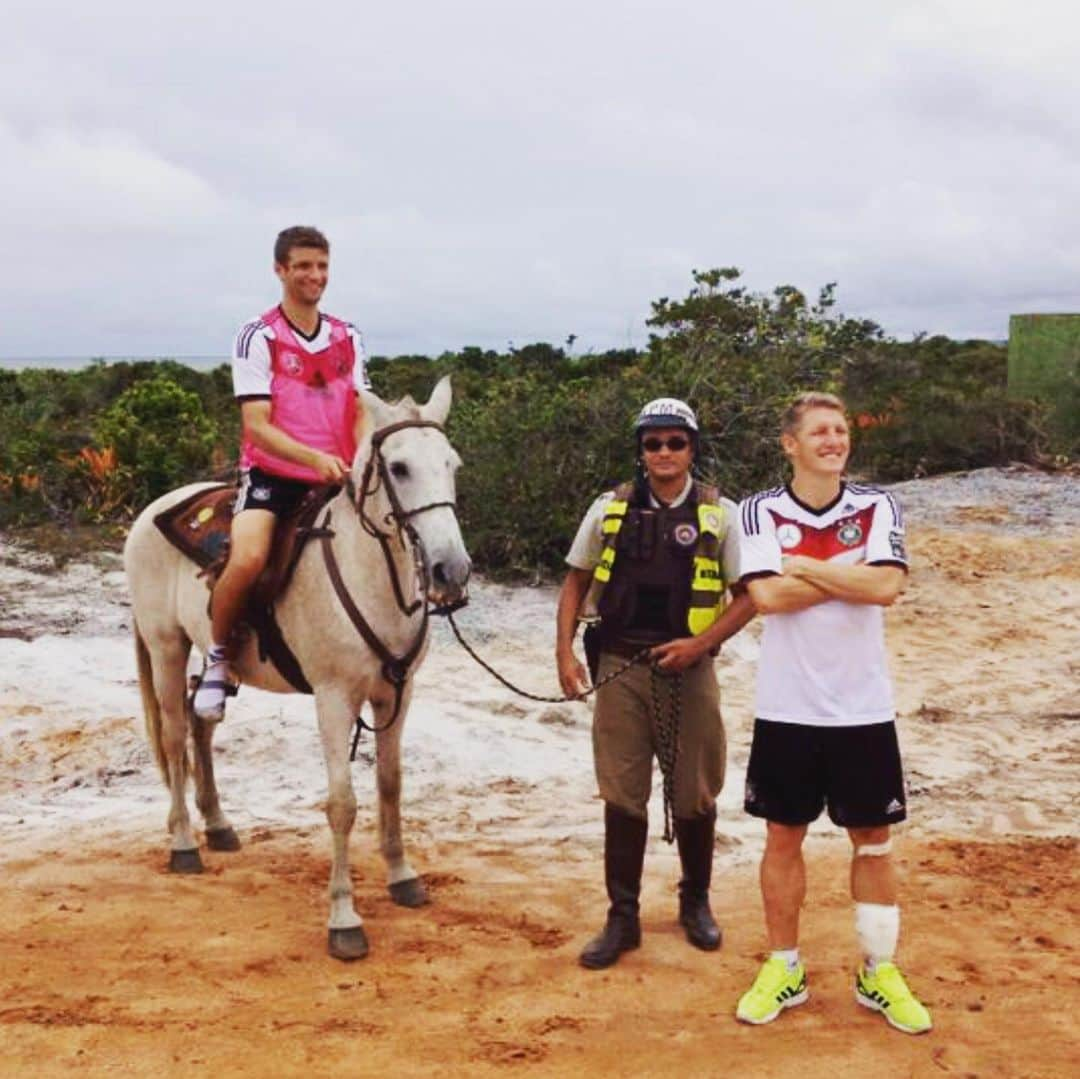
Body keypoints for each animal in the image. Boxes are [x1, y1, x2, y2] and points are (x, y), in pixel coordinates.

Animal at [122, 375, 468, 959]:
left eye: (452, 464)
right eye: (399, 468)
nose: (452, 570)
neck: (369, 574)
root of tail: (153, 510)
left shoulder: (396, 693)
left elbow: (390, 785)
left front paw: (402, 877)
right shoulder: (334, 698)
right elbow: (342, 803)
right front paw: (344, 918)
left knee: (199, 720)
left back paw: (218, 825)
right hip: (166, 645)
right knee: (171, 738)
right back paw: (185, 843)